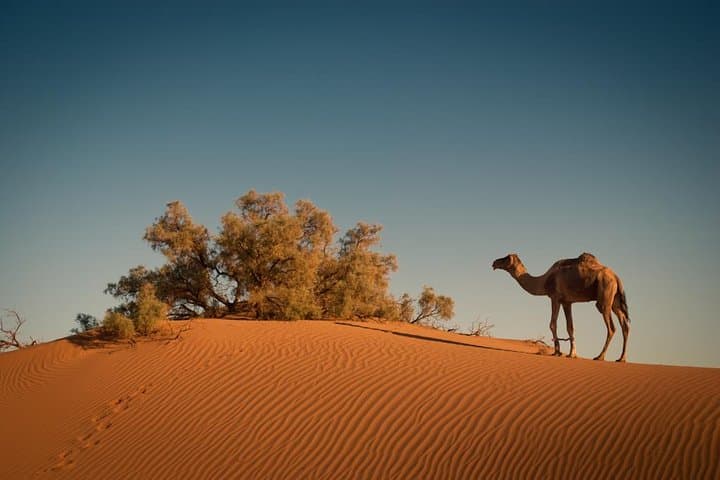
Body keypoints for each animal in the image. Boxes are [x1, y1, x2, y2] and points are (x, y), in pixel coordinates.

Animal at [492, 253, 630, 362]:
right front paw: (572, 354)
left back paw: (600, 357)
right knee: (625, 325)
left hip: (605, 295)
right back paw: (621, 358)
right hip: (615, 300)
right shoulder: (567, 302)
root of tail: (616, 277)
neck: (544, 280)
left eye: (505, 258)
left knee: (611, 327)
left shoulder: (555, 297)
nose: (494, 262)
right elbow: (570, 327)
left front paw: (557, 352)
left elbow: (552, 324)